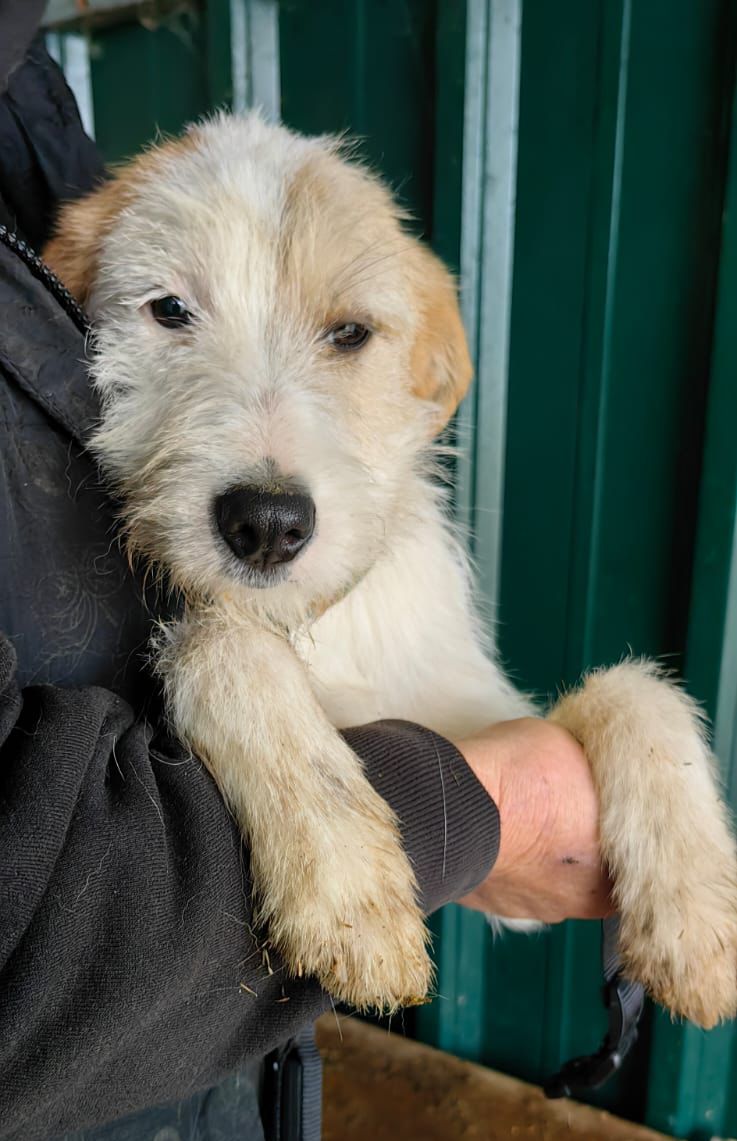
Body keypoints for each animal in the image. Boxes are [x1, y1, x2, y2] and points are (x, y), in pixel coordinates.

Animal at [45, 112, 737, 1027]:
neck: (314, 621)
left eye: (349, 333)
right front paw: (343, 880)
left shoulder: (482, 722)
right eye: (168, 310)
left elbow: (634, 689)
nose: (266, 525)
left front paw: (695, 908)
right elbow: (221, 645)